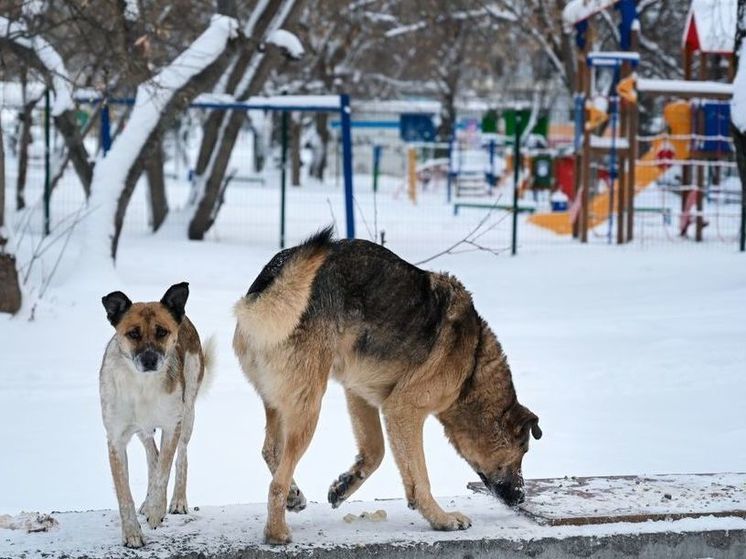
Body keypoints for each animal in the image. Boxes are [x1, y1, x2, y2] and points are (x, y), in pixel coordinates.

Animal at [97, 282, 211, 548]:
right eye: (133, 334)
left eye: (162, 332)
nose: (149, 360)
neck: (142, 386)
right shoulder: (116, 438)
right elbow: (124, 492)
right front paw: (132, 533)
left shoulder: (171, 424)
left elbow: (164, 471)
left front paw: (157, 510)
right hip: (142, 430)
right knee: (152, 454)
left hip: (187, 412)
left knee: (181, 456)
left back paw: (176, 501)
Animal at [232, 226, 540, 544]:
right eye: (523, 453)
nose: (521, 498)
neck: (472, 366)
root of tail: (270, 282)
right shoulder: (403, 410)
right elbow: (419, 477)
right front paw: (440, 519)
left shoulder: (360, 394)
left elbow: (376, 452)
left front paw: (346, 484)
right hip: (308, 408)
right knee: (276, 481)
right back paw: (277, 531)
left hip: (279, 403)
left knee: (271, 450)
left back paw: (294, 495)